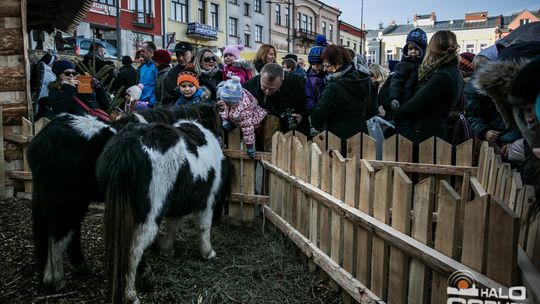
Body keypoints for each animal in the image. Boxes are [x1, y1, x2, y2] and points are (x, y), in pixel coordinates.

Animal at [26, 104, 220, 292]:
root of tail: (48, 140)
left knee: (68, 232)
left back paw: (74, 270)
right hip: (71, 200)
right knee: (62, 232)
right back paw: (58, 279)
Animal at [96, 117, 231, 302]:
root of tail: (126, 149)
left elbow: (172, 226)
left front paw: (167, 249)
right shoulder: (207, 202)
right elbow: (204, 227)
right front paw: (208, 253)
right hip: (149, 217)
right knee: (133, 251)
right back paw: (131, 295)